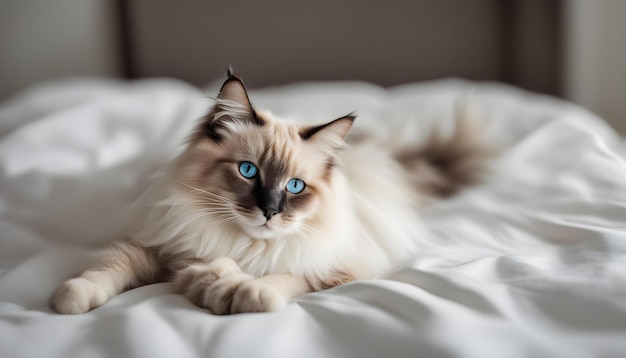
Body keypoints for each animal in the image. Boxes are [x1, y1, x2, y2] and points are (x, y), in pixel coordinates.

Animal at [51, 69, 488, 314]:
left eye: (295, 186)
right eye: (248, 171)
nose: (270, 211)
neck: (239, 246)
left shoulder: (332, 272)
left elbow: (283, 278)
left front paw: (239, 291)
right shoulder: (161, 246)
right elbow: (109, 268)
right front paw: (69, 300)